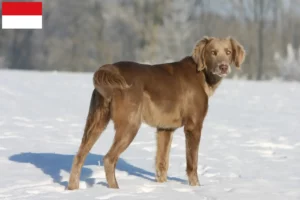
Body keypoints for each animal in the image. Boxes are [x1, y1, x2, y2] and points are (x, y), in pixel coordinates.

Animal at [68, 36, 246, 191]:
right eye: (213, 52)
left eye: (228, 52)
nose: (223, 67)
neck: (202, 75)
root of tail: (110, 68)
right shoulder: (193, 126)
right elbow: (192, 163)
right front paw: (196, 188)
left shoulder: (165, 129)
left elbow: (162, 164)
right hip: (130, 125)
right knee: (108, 159)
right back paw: (115, 190)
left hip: (96, 121)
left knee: (79, 156)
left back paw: (73, 189)